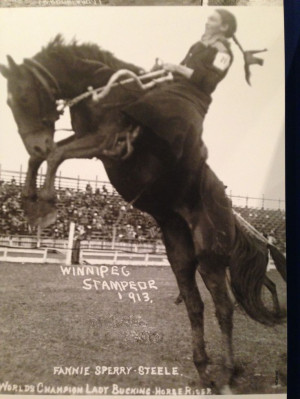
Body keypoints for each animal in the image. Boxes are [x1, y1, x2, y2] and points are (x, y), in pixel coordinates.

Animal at [0, 36, 286, 396]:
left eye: (24, 96)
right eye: (10, 101)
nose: (35, 141)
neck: (108, 91)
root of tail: (233, 217)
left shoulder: (103, 141)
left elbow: (54, 155)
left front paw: (46, 206)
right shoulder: (85, 139)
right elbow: (45, 157)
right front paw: (30, 201)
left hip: (211, 259)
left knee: (224, 307)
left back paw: (227, 374)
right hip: (180, 255)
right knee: (195, 305)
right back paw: (204, 368)